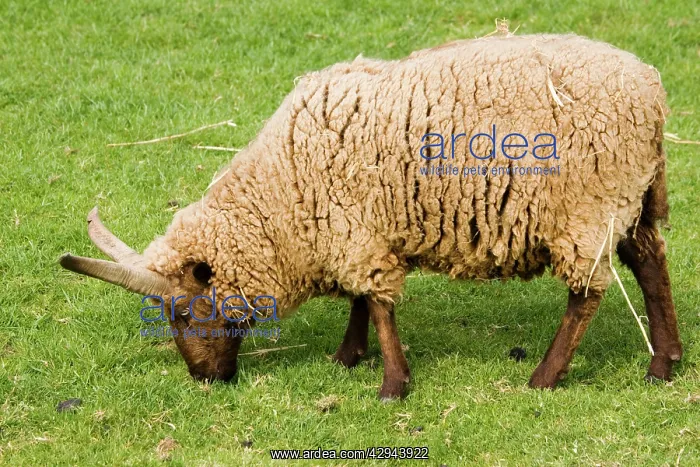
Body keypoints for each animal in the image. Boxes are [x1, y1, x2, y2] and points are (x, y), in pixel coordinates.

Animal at [60, 33, 682, 400]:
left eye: (186, 313)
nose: (203, 379)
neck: (281, 198)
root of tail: (651, 89)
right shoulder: (353, 228)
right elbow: (361, 300)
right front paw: (347, 357)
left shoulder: (354, 232)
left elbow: (379, 305)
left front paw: (391, 384)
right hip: (631, 198)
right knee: (650, 261)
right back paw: (664, 364)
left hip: (588, 208)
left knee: (588, 294)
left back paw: (545, 377)